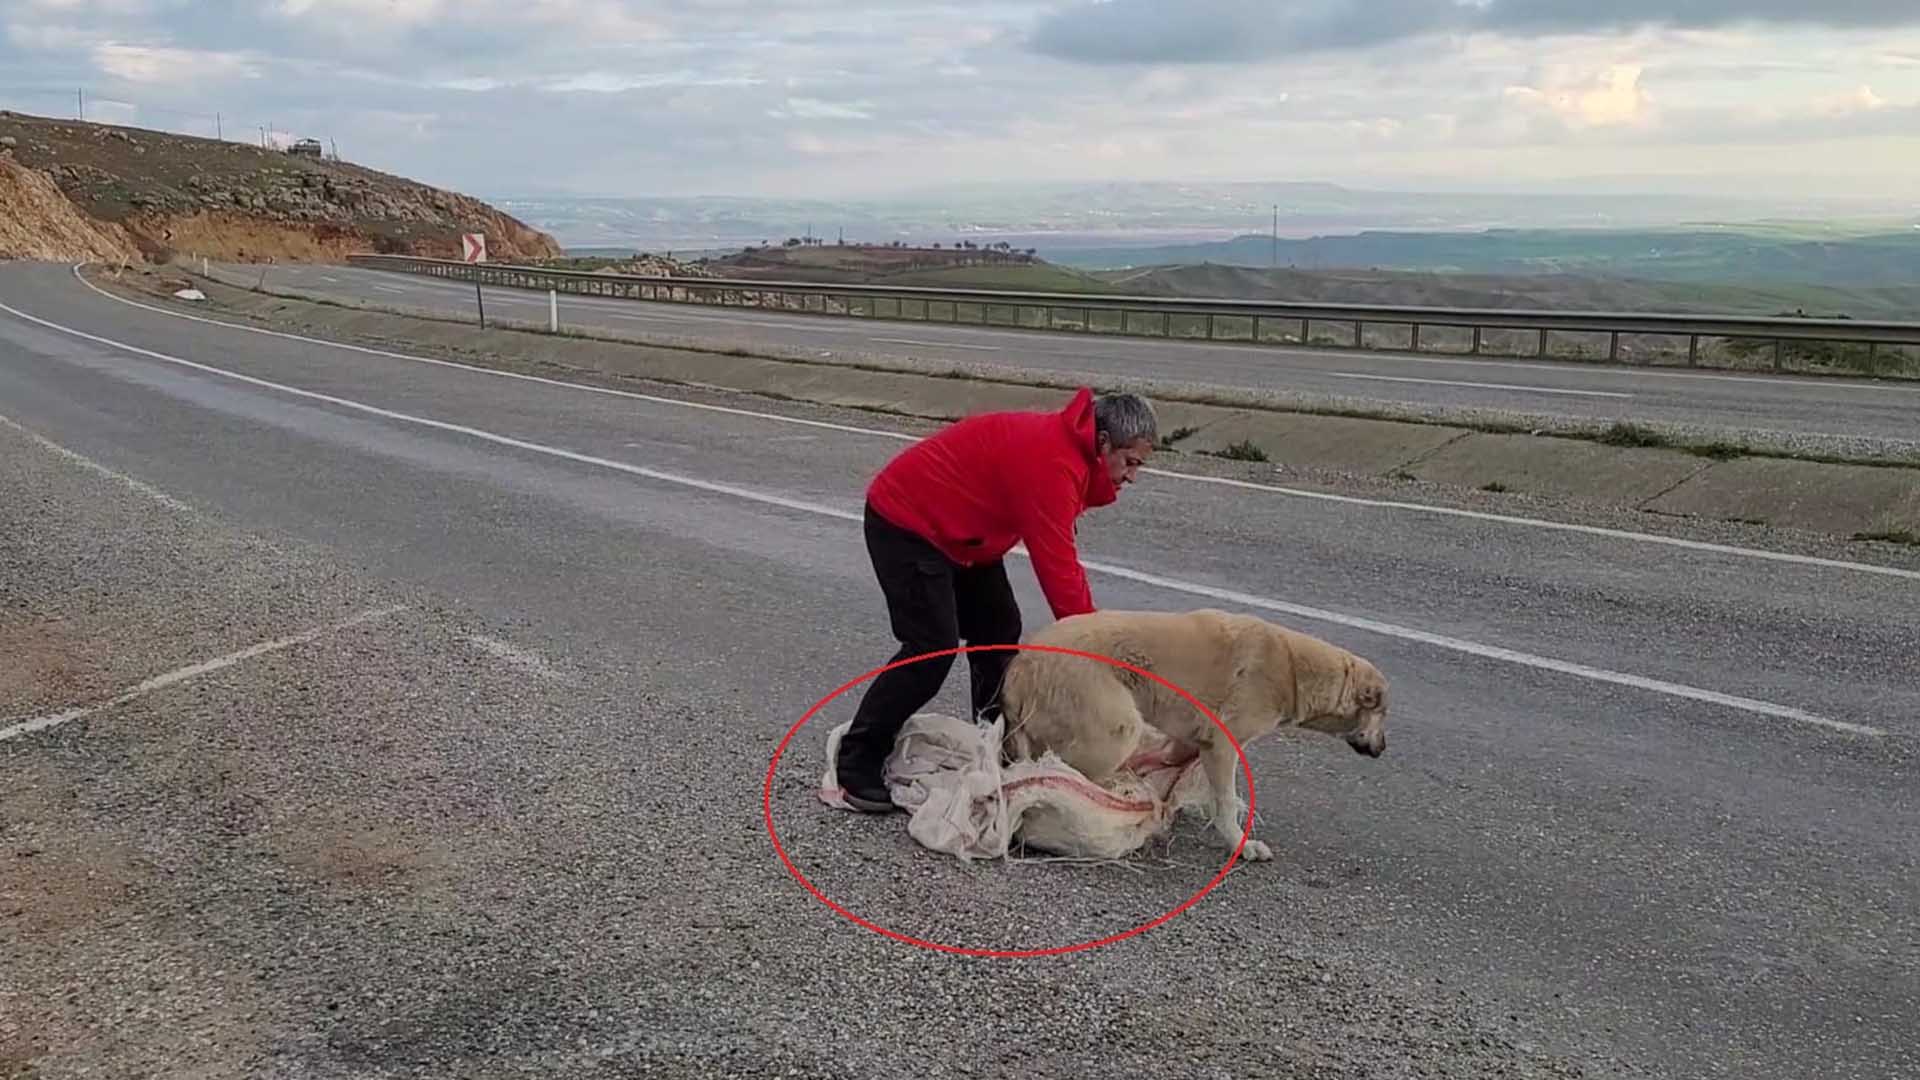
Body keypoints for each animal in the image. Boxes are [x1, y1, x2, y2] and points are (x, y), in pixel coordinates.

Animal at [998, 607, 1390, 857]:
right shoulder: (1223, 747)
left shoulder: (1187, 743)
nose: (1384, 748)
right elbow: (1226, 802)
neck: (1293, 666)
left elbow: (1167, 759)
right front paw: (1240, 844)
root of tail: (1018, 669)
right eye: (1383, 714)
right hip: (1115, 730)